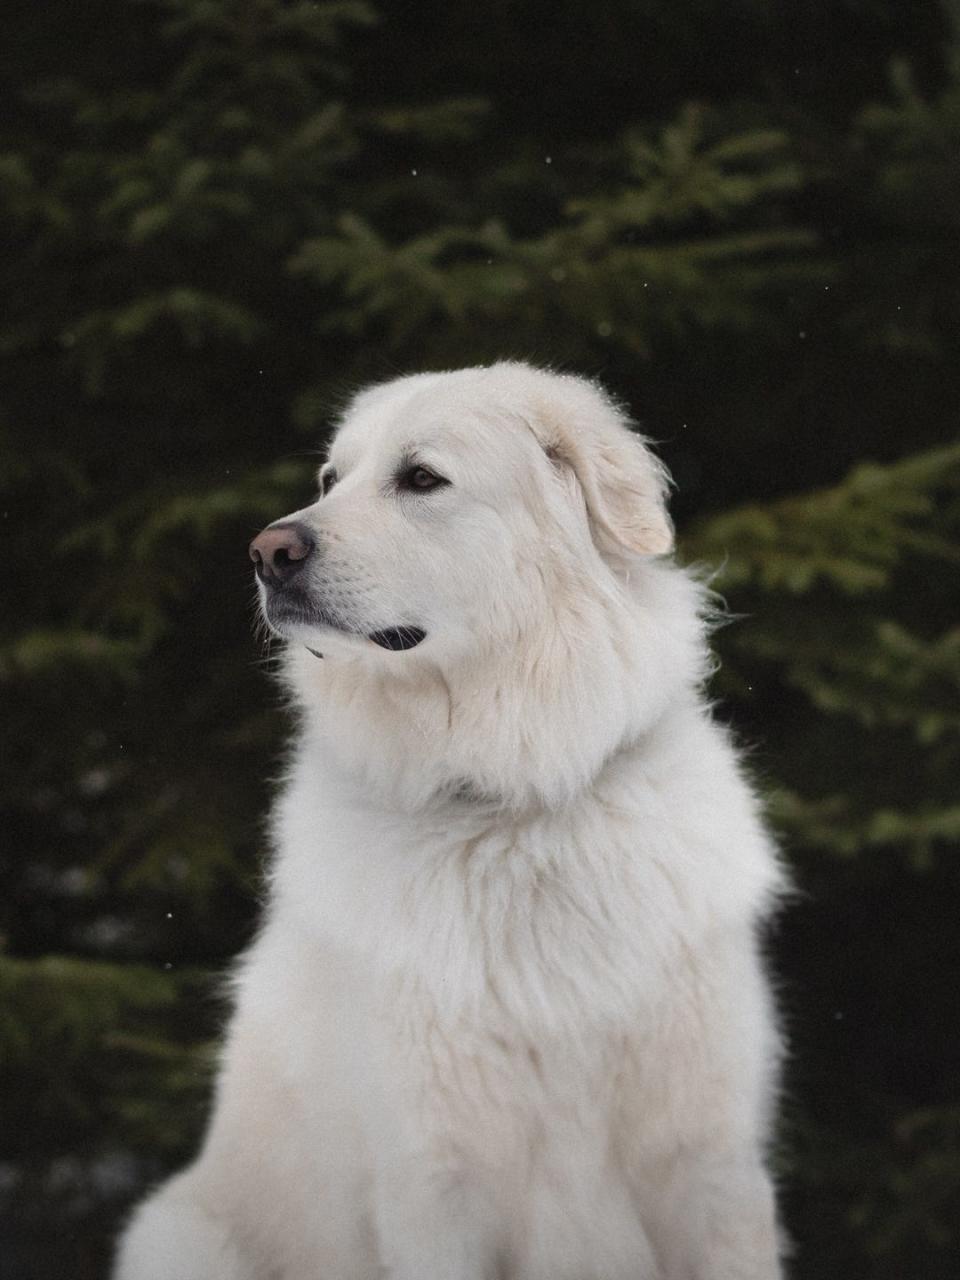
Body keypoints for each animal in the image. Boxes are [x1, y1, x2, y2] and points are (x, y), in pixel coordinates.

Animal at [114, 363, 788, 1280]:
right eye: (331, 479)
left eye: (422, 478)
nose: (267, 552)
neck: (511, 806)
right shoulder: (435, 1181)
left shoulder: (708, 1166)